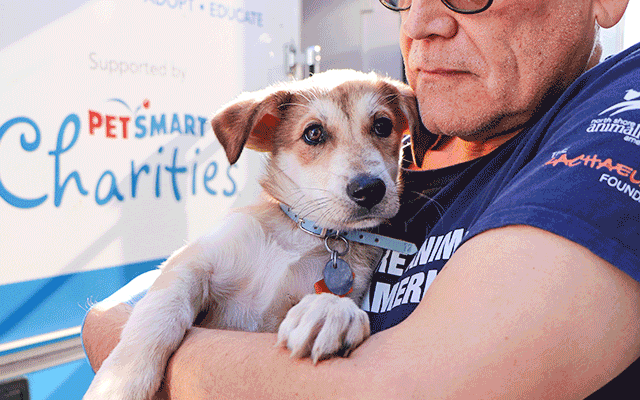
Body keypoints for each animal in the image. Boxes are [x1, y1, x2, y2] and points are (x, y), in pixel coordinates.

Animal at [84, 69, 419, 400]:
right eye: (313, 133)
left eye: (383, 125)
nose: (369, 189)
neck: (302, 235)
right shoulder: (192, 262)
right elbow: (159, 314)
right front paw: (117, 386)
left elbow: (330, 299)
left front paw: (331, 312)